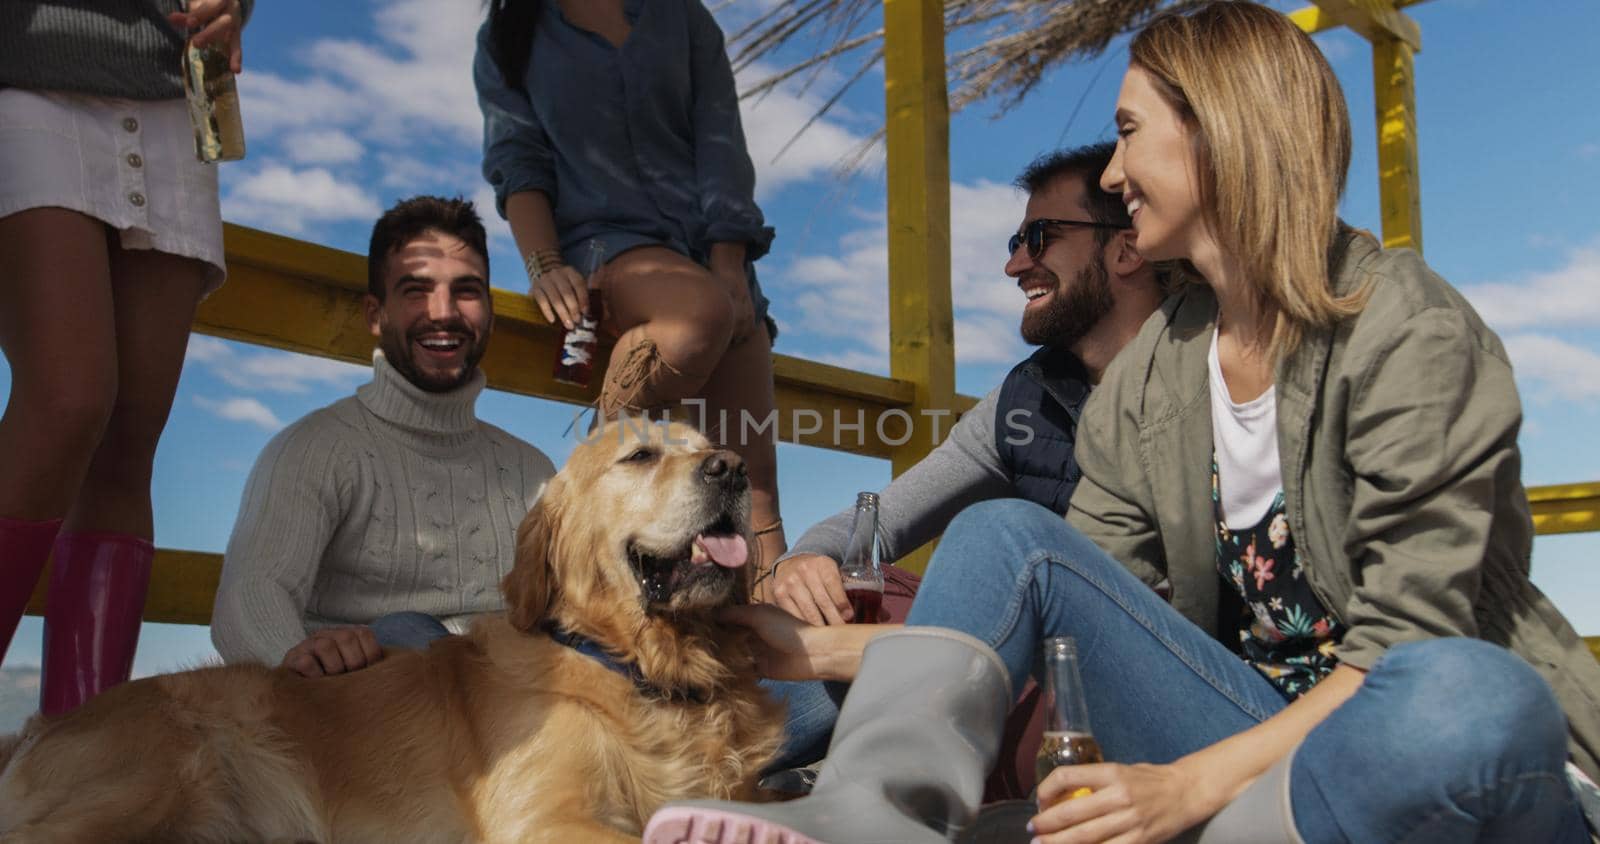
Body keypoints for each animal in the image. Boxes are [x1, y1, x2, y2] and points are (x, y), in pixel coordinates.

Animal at [0, 422, 784, 844]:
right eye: (641, 455)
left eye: (712, 445)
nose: (733, 469)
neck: (644, 667)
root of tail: (41, 728)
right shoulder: (541, 817)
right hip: (156, 776)